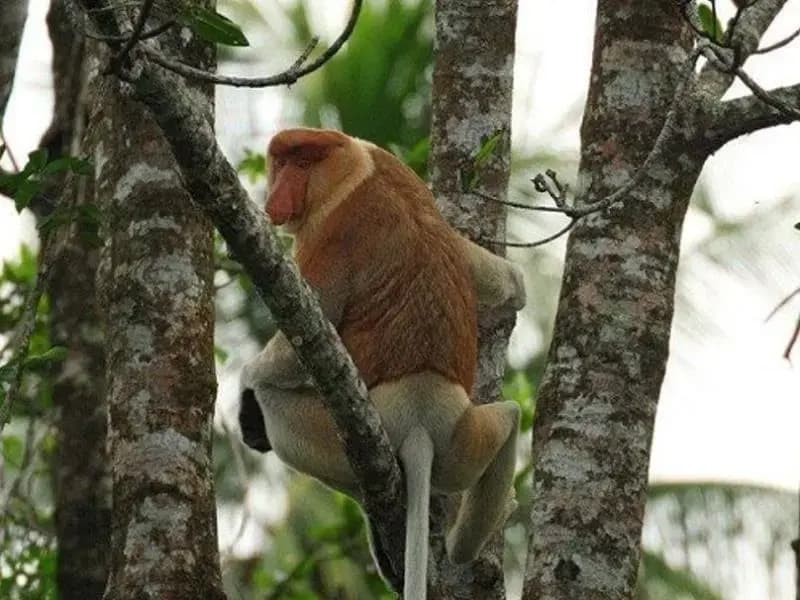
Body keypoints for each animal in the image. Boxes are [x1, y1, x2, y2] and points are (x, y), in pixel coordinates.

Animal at [239, 127, 525, 599]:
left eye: (302, 164)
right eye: (281, 162)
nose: (276, 197)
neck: (354, 168)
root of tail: (421, 417)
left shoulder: (331, 234)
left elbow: (307, 331)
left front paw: (246, 386)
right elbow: (509, 282)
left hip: (349, 432)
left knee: (277, 410)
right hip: (464, 437)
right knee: (511, 416)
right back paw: (467, 540)